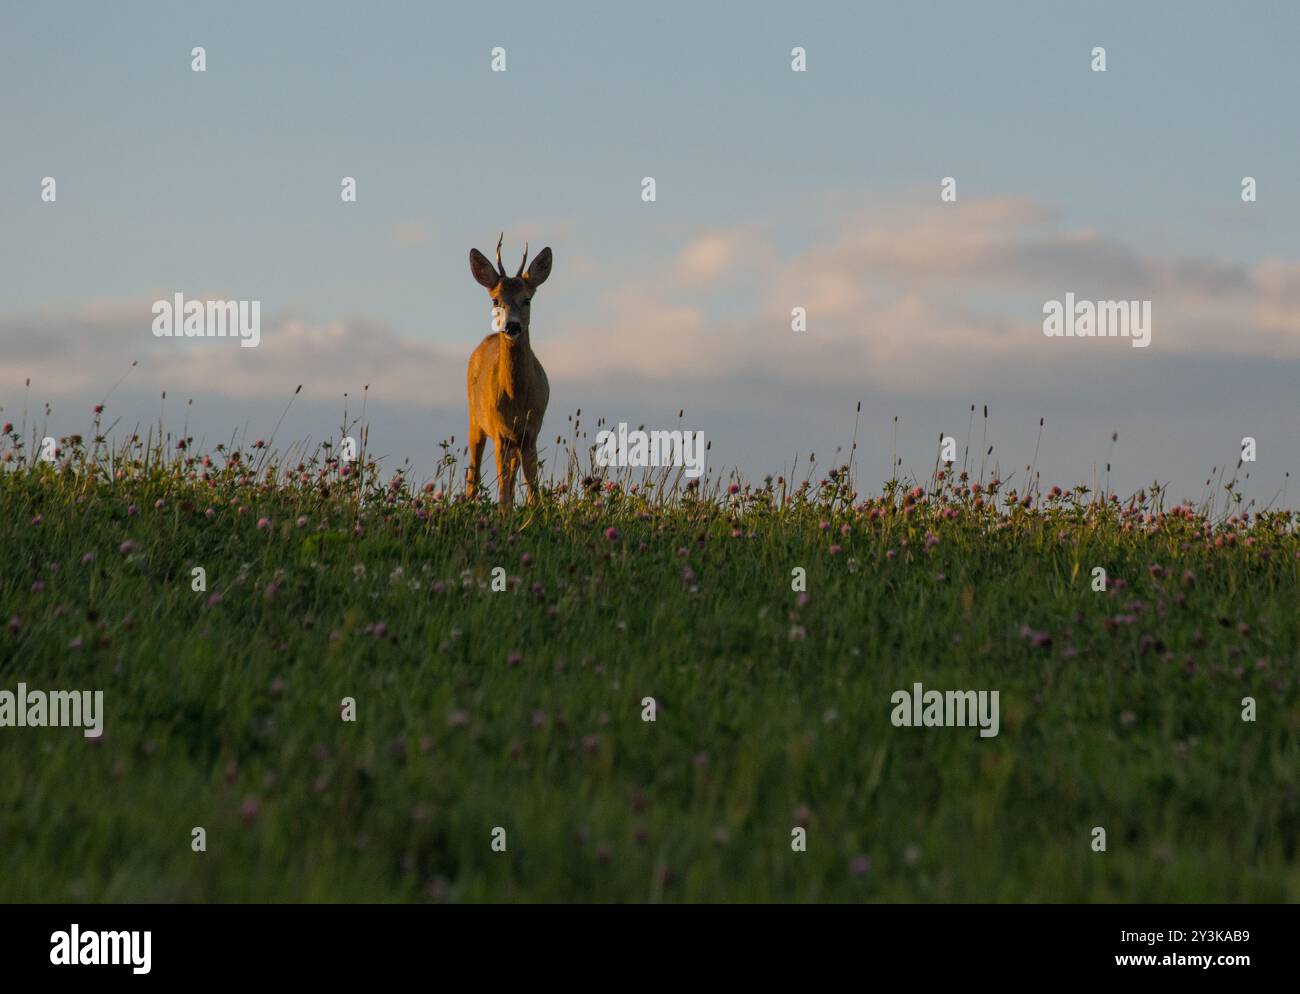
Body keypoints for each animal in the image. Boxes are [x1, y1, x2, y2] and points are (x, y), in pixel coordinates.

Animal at [465, 236, 551, 506]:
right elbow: (503, 491)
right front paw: (504, 512)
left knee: (512, 478)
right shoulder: (500, 431)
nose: (512, 326)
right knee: (474, 474)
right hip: (475, 418)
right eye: (495, 300)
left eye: (527, 299)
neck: (516, 397)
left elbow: (533, 488)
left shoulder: (531, 431)